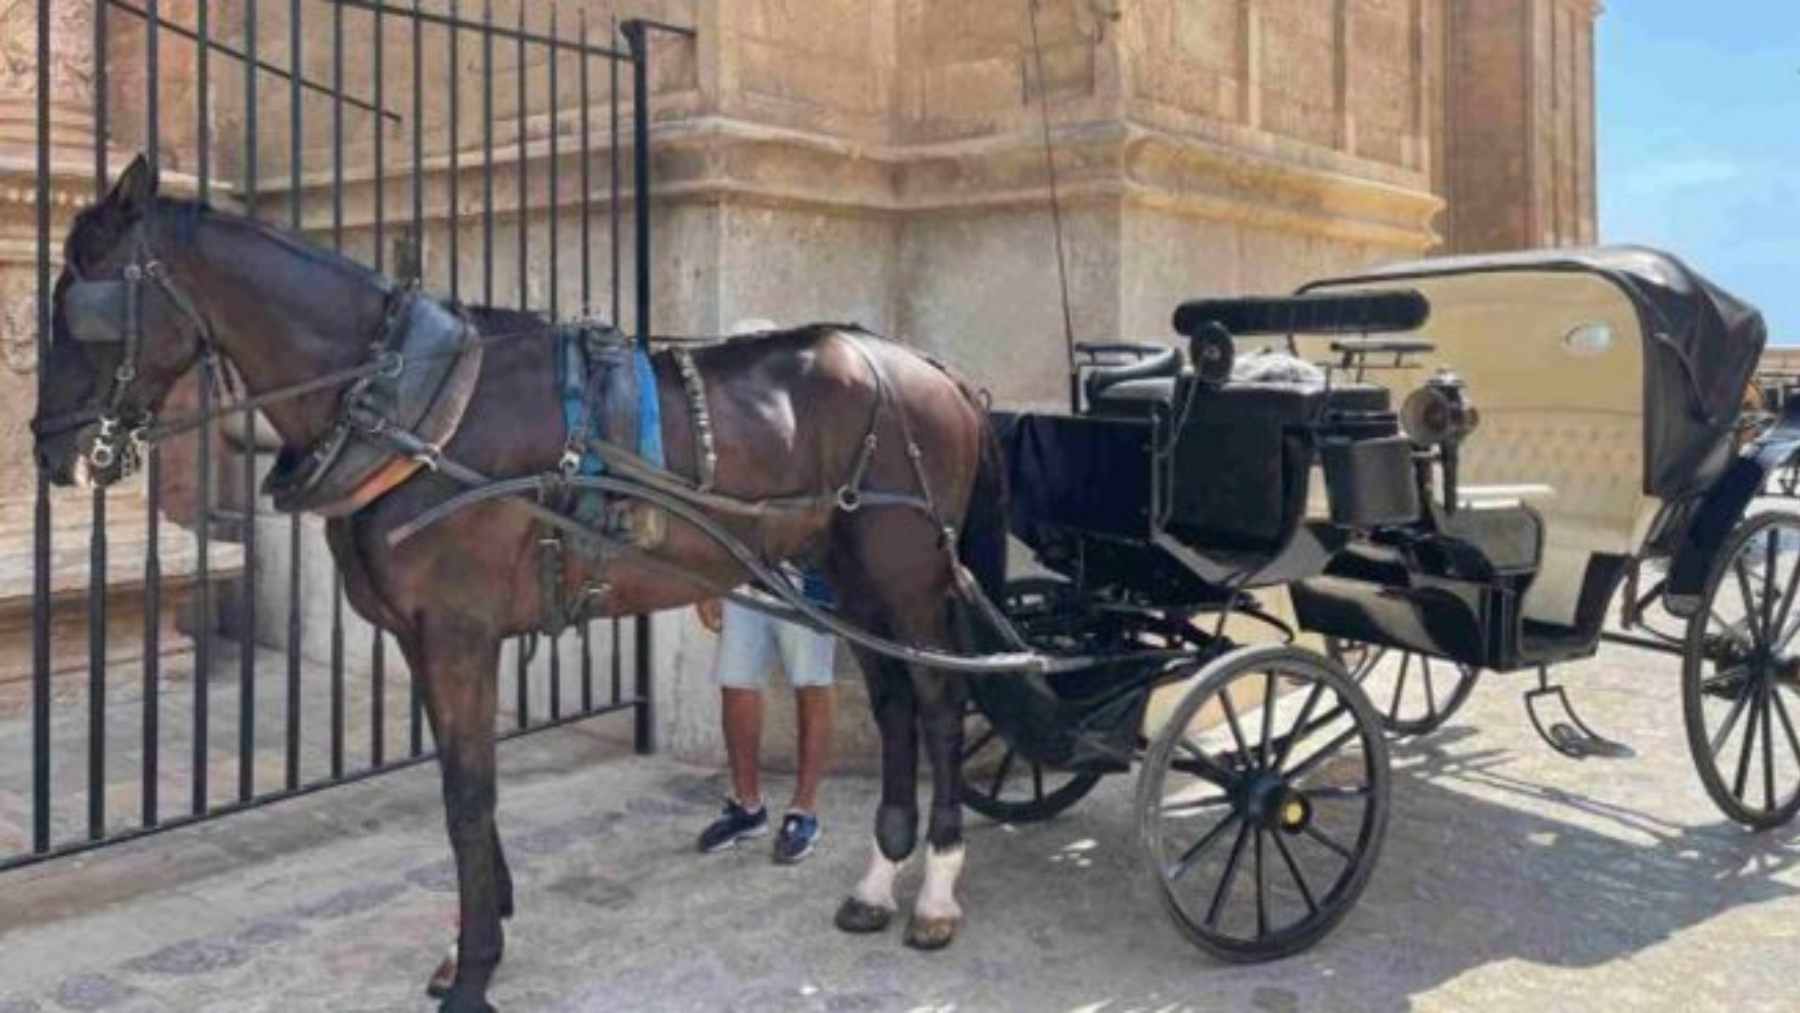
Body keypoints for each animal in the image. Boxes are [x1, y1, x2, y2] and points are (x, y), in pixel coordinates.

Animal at [31, 154, 1015, 1007]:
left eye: (79, 305)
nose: (47, 449)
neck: (408, 409)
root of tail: (938, 372)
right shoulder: (423, 638)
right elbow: (461, 782)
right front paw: (477, 932)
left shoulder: (460, 633)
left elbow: (469, 794)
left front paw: (474, 966)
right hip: (852, 576)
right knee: (893, 702)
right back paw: (880, 879)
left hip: (907, 572)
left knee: (937, 702)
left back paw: (935, 889)